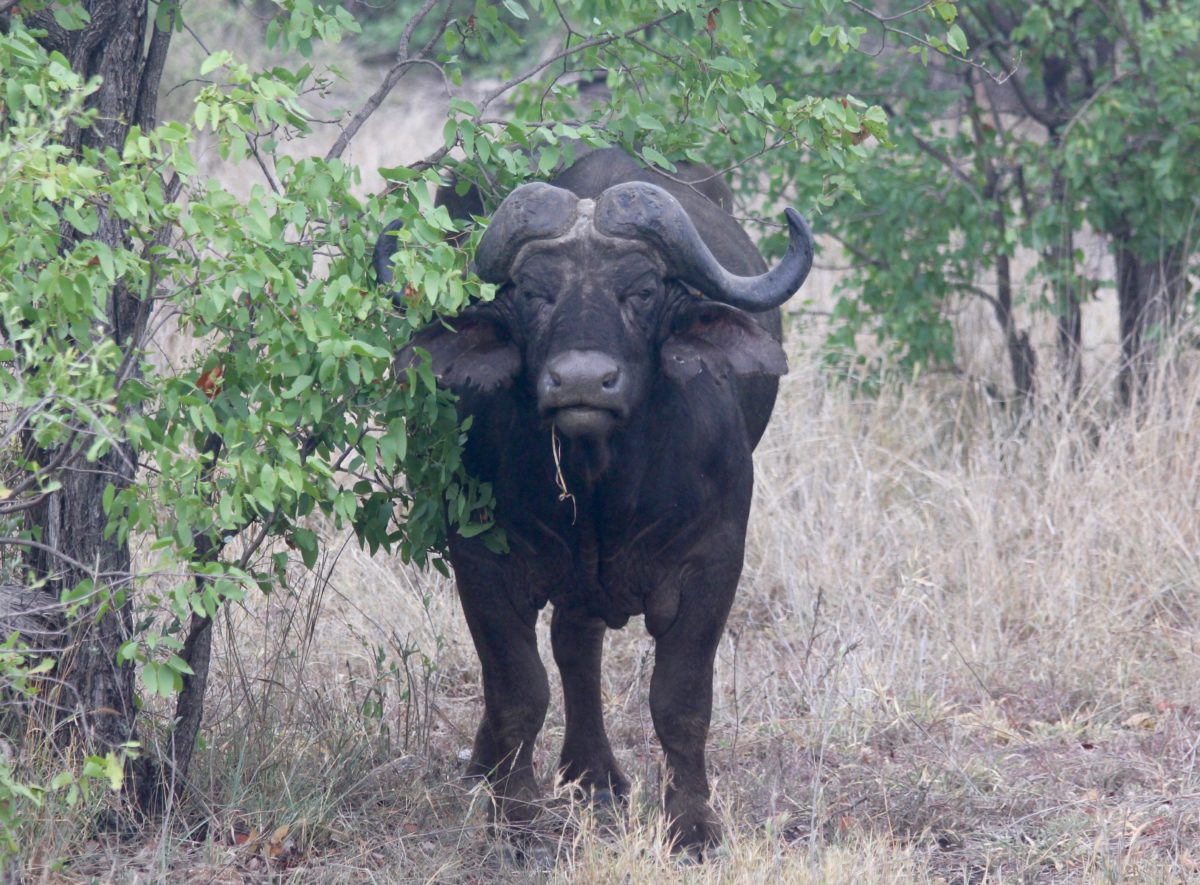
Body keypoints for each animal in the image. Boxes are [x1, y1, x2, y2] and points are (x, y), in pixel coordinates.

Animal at [369, 146, 811, 849]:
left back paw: (593, 776)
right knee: (568, 652)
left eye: (643, 292)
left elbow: (680, 699)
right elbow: (518, 688)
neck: (602, 484)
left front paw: (692, 825)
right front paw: (516, 815)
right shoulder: (481, 559)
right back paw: (543, 772)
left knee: (578, 644)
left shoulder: (715, 560)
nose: (581, 381)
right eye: (532, 293)